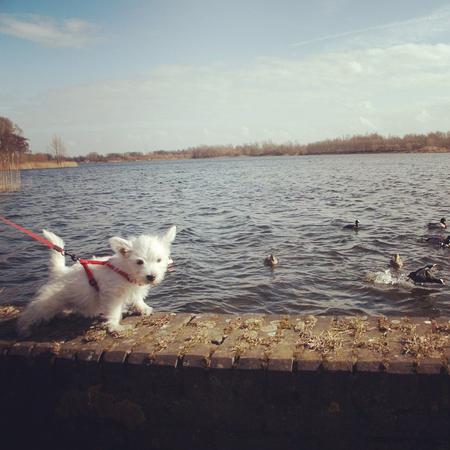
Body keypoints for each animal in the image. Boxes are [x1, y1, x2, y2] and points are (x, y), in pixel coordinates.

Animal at [17, 225, 176, 338]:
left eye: (159, 260)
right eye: (139, 262)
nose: (151, 276)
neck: (125, 271)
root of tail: (61, 271)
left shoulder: (134, 289)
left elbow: (137, 299)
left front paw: (143, 308)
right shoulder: (113, 296)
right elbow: (113, 311)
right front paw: (115, 326)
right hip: (48, 301)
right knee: (31, 312)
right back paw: (23, 329)